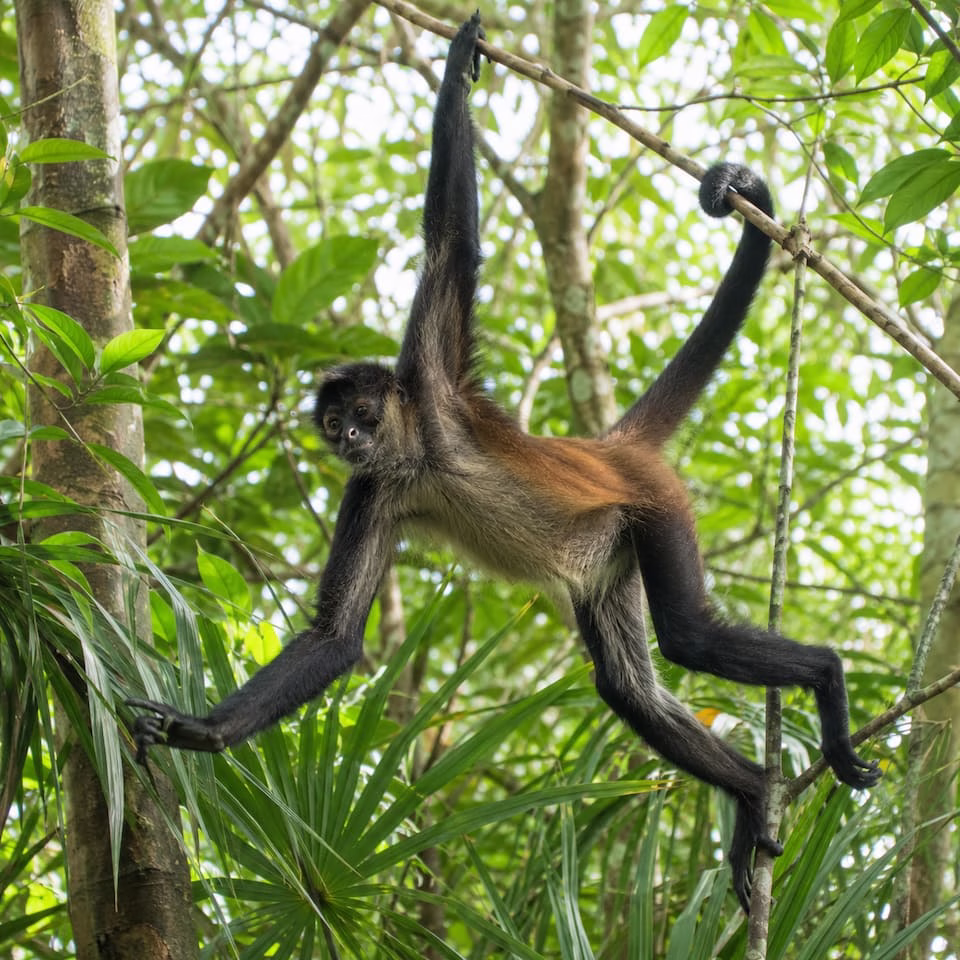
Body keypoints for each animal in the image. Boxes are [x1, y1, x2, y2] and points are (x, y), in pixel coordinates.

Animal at [128, 14, 880, 912]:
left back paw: (827, 679)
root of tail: (609, 449)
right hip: (611, 554)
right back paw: (748, 792)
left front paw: (459, 64)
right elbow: (336, 638)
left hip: (654, 508)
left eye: (362, 414)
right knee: (627, 685)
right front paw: (200, 730)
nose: (348, 438)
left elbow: (452, 241)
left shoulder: (431, 382)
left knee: (690, 637)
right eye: (334, 425)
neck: (418, 454)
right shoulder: (372, 491)